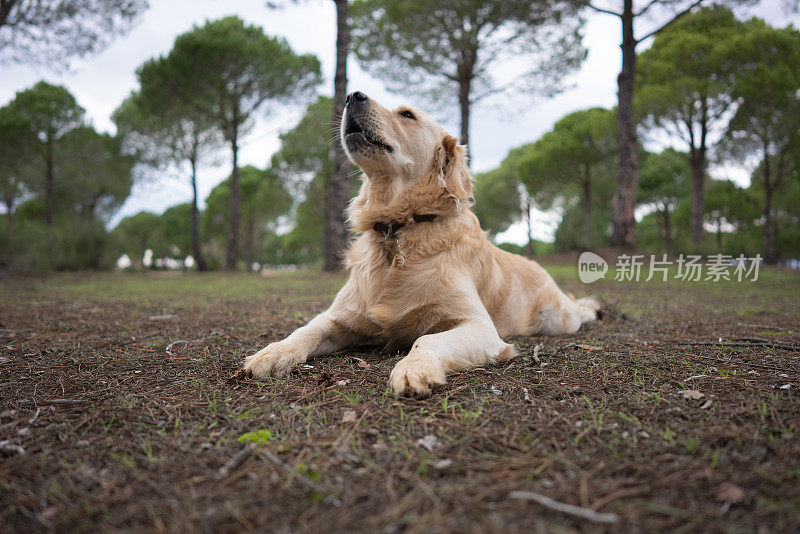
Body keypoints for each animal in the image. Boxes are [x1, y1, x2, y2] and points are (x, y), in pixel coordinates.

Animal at [244, 90, 600, 396]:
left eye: (407, 115)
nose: (352, 96)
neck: (400, 227)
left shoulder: (480, 326)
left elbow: (426, 339)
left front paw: (414, 368)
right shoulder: (339, 316)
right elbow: (307, 328)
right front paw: (274, 352)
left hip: (558, 319)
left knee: (577, 311)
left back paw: (591, 309)